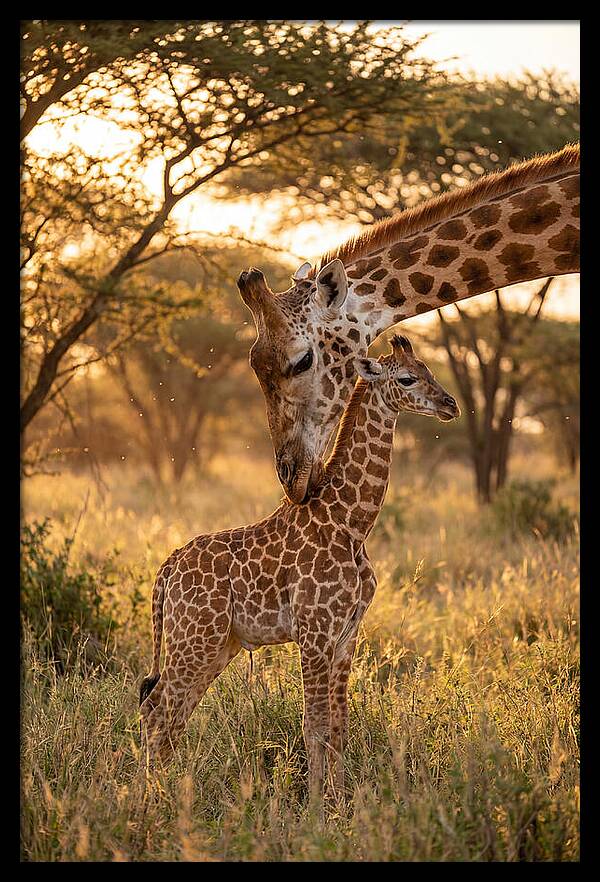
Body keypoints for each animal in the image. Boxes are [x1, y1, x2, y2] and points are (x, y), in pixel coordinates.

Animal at [139, 335, 460, 800]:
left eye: (429, 370)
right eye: (407, 378)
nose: (450, 404)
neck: (351, 521)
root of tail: (166, 571)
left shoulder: (346, 635)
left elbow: (339, 725)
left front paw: (342, 802)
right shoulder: (314, 631)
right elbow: (314, 725)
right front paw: (314, 808)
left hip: (217, 644)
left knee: (171, 712)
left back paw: (165, 793)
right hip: (194, 638)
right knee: (157, 710)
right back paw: (150, 801)